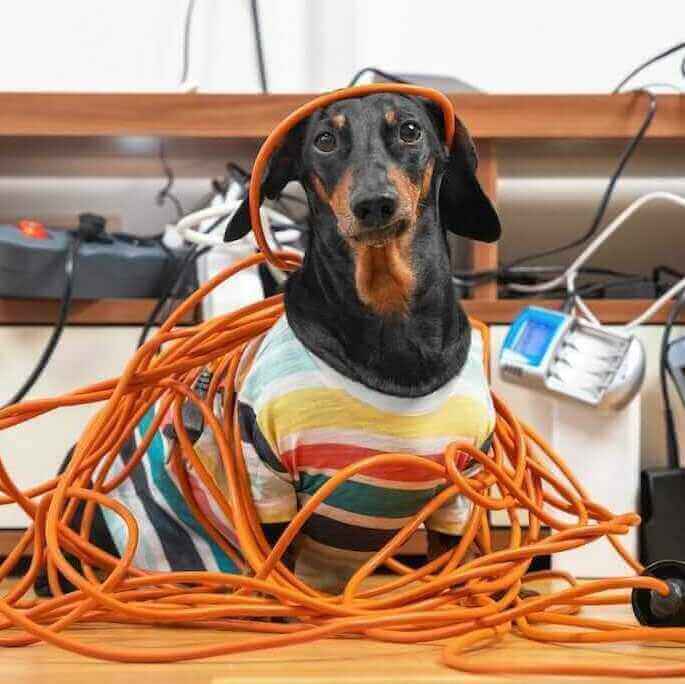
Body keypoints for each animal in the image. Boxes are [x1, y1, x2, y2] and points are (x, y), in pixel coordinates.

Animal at [37, 91, 500, 592]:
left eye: (410, 130)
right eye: (324, 140)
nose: (374, 204)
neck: (390, 320)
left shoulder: (460, 484)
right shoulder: (266, 476)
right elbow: (279, 566)